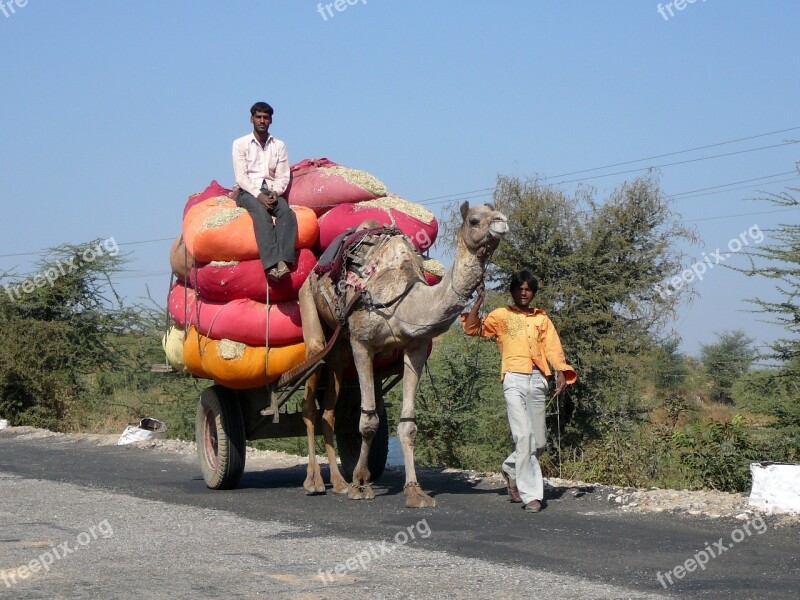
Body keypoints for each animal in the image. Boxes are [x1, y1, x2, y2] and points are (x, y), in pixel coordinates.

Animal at [296, 203, 510, 506]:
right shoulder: (362, 344)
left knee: (329, 408)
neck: (403, 300)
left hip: (340, 346)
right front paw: (360, 485)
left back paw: (338, 483)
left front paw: (415, 491)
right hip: (309, 307)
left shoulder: (415, 348)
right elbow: (368, 420)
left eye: (497, 211)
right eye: (474, 220)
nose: (502, 222)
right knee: (310, 398)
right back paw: (314, 482)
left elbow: (408, 426)